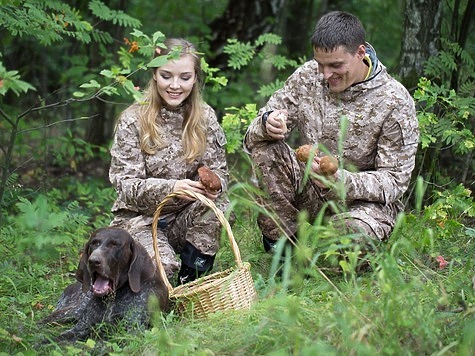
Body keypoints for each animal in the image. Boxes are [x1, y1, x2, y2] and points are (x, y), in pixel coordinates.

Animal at [41, 228, 170, 342]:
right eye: (94, 243)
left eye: (114, 245)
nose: (93, 261)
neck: (113, 298)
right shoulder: (81, 328)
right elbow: (51, 341)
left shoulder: (131, 332)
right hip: (73, 311)